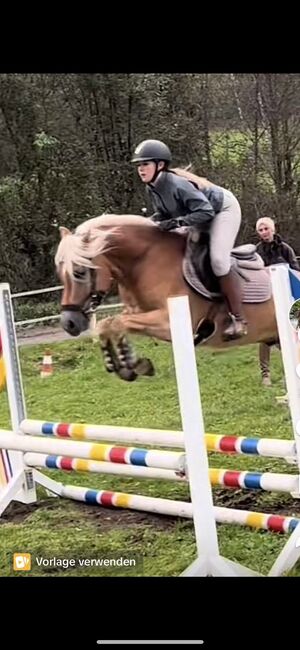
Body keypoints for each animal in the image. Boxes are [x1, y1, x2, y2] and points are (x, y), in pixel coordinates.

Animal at [54, 201, 278, 380]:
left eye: (79, 272)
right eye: (60, 273)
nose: (69, 323)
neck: (144, 261)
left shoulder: (168, 323)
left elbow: (114, 322)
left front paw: (129, 365)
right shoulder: (136, 313)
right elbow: (110, 324)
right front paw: (129, 364)